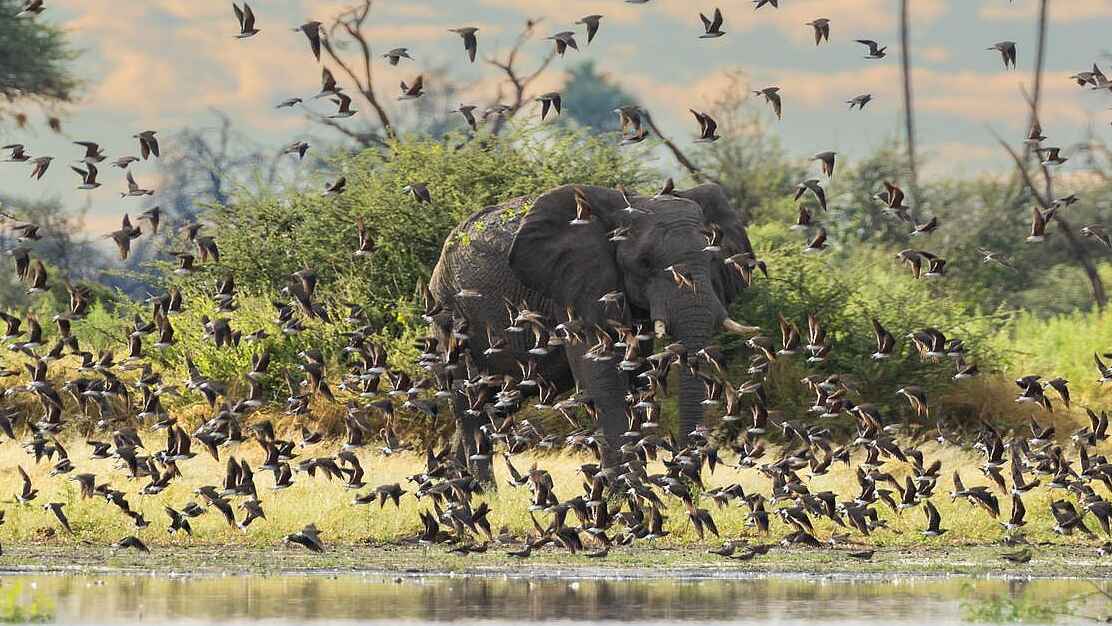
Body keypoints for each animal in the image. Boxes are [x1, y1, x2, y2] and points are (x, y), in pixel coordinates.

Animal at [428, 182, 759, 469]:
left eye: (713, 259)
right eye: (644, 262)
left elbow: (634, 375)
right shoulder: (575, 288)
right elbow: (604, 379)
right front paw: (623, 493)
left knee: (492, 405)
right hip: (450, 315)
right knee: (471, 406)